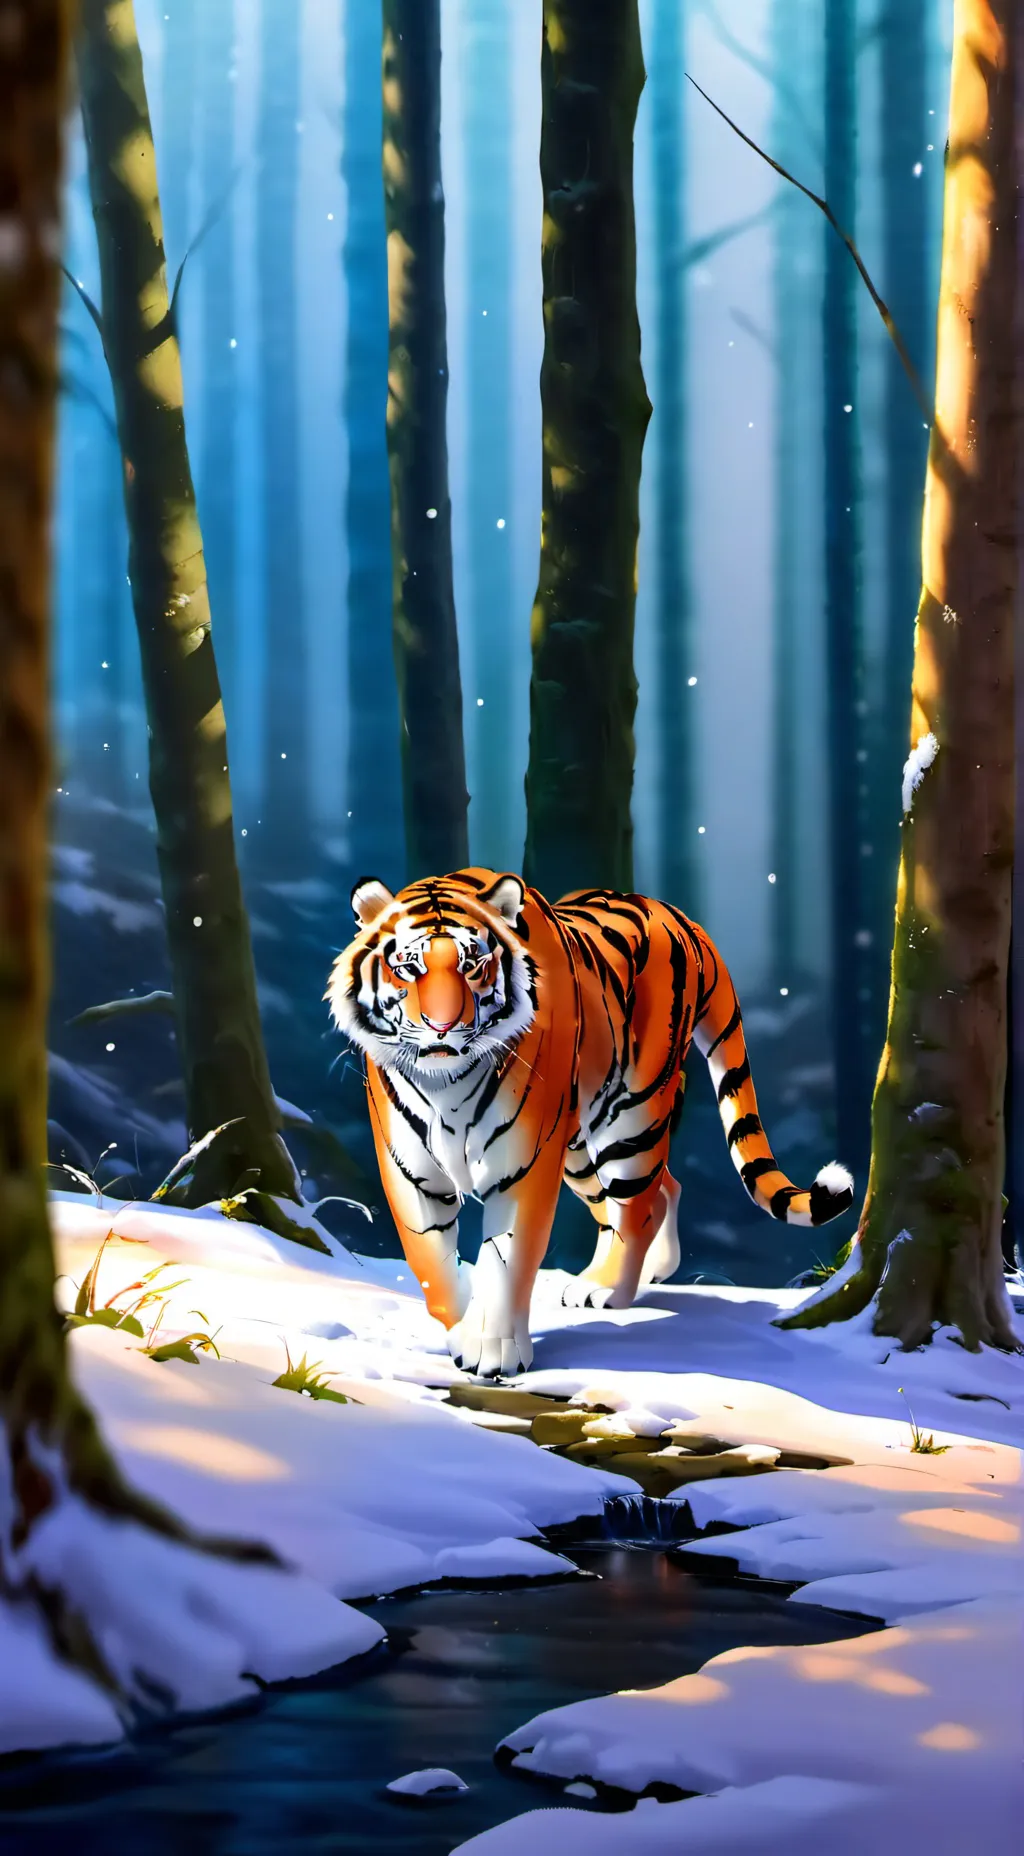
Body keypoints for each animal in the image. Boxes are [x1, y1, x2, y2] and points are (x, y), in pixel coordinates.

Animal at [326, 868, 853, 1379]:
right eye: (407, 967)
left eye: (472, 965)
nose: (442, 1029)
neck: (446, 1084)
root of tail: (684, 920)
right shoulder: (409, 1171)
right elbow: (430, 1261)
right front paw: (460, 1334)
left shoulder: (524, 1167)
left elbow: (505, 1260)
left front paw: (495, 1352)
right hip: (579, 1147)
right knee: (650, 1194)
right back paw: (646, 1270)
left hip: (632, 1118)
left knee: (638, 1206)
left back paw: (609, 1289)